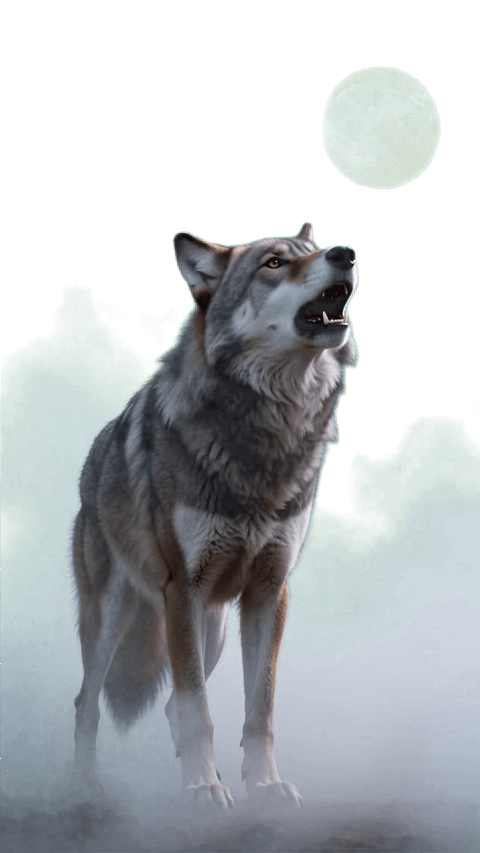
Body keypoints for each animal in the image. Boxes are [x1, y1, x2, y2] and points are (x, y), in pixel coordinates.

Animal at [70, 222, 358, 811]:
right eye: (274, 263)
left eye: (314, 251)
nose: (345, 254)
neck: (269, 428)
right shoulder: (183, 588)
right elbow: (197, 704)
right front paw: (202, 788)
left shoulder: (270, 591)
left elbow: (259, 707)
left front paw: (264, 785)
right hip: (112, 619)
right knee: (87, 703)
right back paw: (86, 788)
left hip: (216, 628)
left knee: (168, 705)